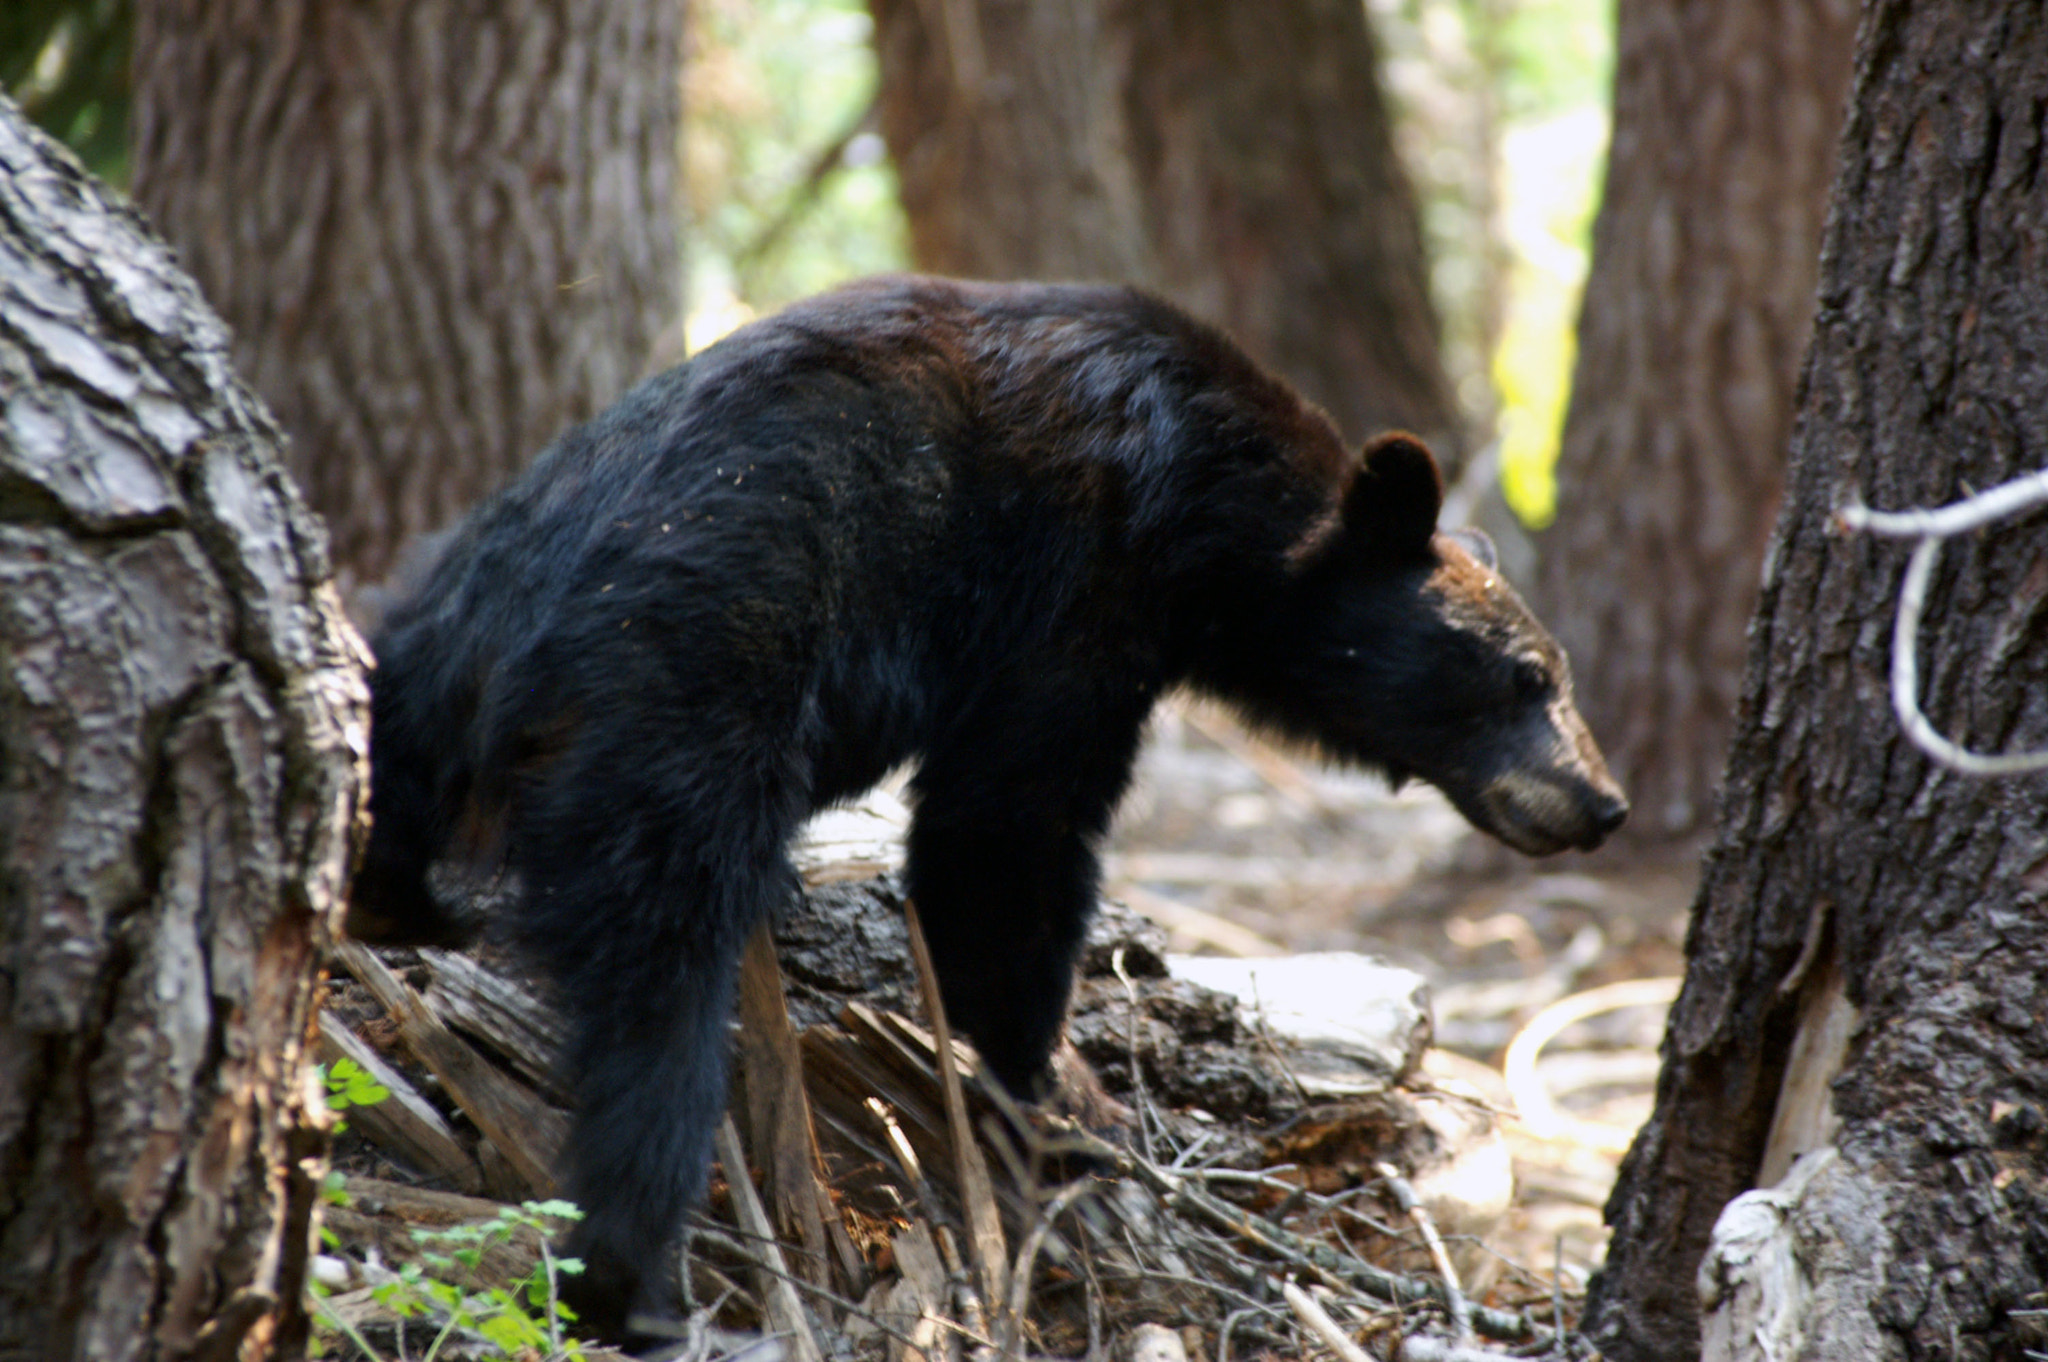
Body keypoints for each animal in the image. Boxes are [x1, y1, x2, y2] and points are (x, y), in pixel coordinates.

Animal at [348, 270, 1630, 1335]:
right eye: (1526, 676)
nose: (1600, 803)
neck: (1203, 502)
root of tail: (513, 655)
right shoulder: (1069, 594)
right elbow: (1002, 840)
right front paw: (1064, 1094)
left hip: (420, 638)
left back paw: (391, 907)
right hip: (683, 701)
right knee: (657, 983)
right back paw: (637, 1282)